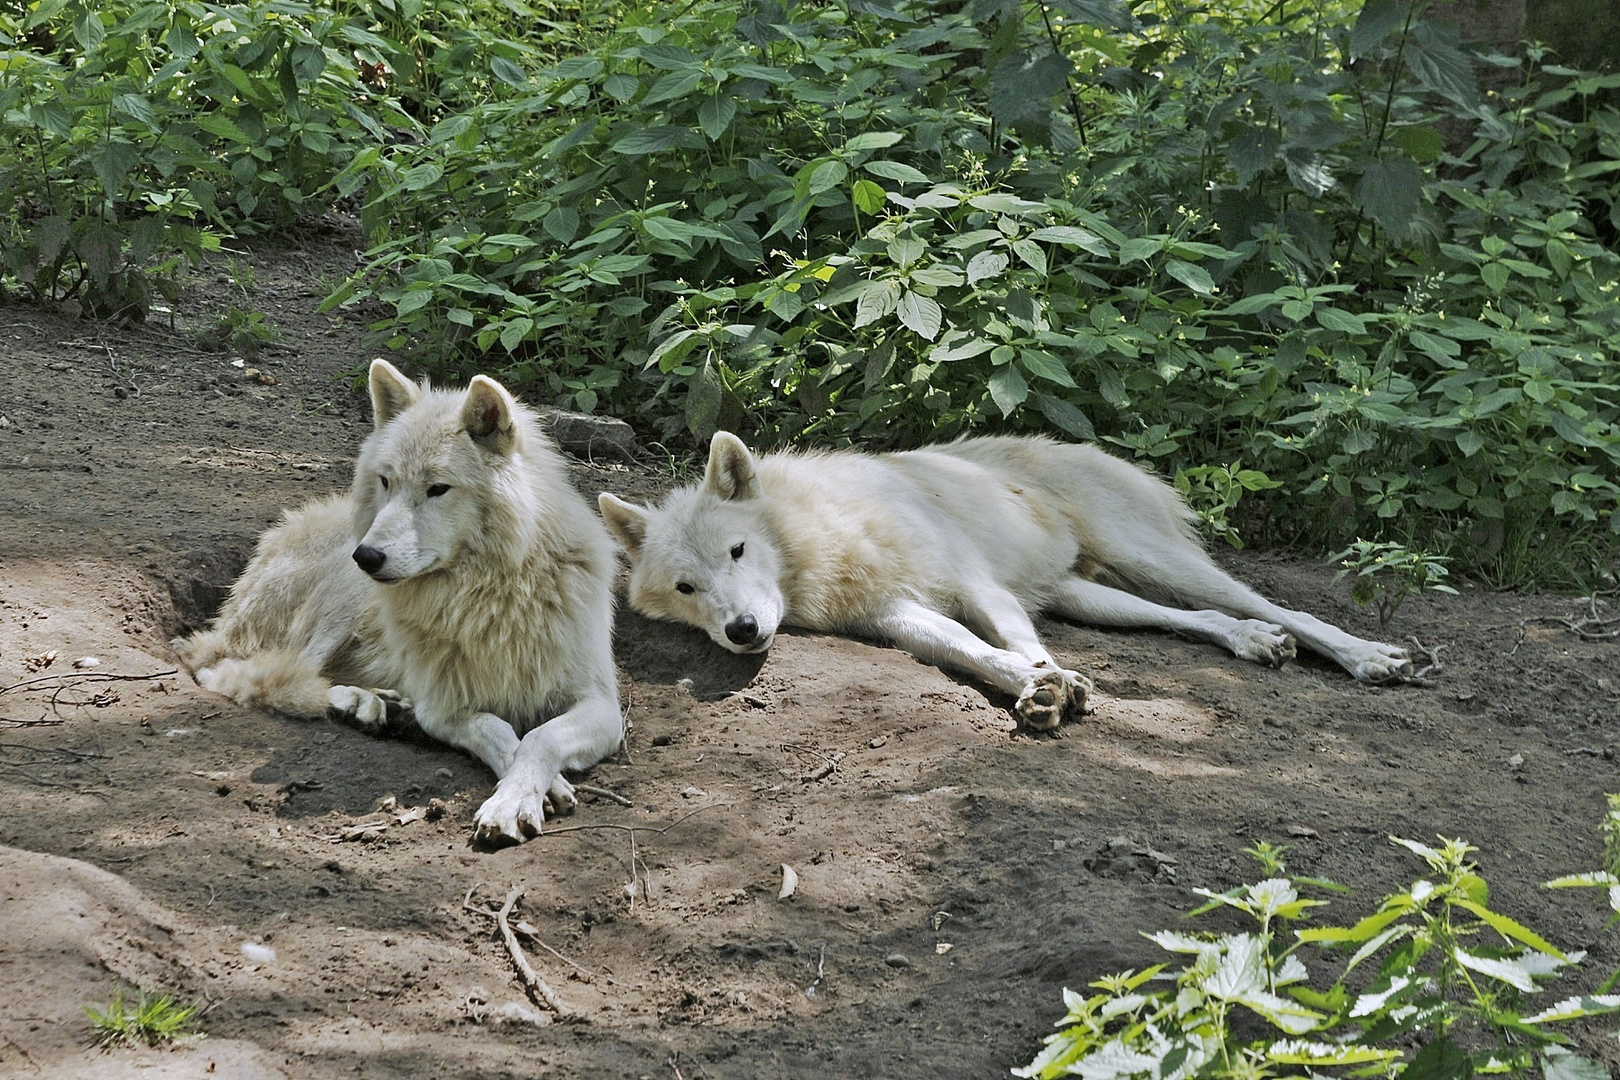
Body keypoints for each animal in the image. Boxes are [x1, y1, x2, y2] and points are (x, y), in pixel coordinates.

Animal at [175, 359, 618, 841]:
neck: (486, 596)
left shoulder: (603, 705)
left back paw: (384, 704)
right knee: (270, 675)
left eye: (438, 488)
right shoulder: (443, 706)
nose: (366, 556)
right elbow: (499, 730)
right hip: (342, 601)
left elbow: (540, 737)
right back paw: (357, 703)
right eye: (386, 481)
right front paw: (523, 795)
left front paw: (518, 797)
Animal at [602, 433, 1412, 731]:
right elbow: (974, 652)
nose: (742, 632)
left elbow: (1019, 643)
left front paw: (1055, 681)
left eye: (738, 551)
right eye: (686, 590)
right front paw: (1036, 688)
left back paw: (1370, 657)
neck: (827, 534)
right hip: (1091, 598)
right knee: (1202, 621)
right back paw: (1253, 644)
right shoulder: (897, 615)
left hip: (1155, 559)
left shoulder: (974, 583)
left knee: (1266, 604)